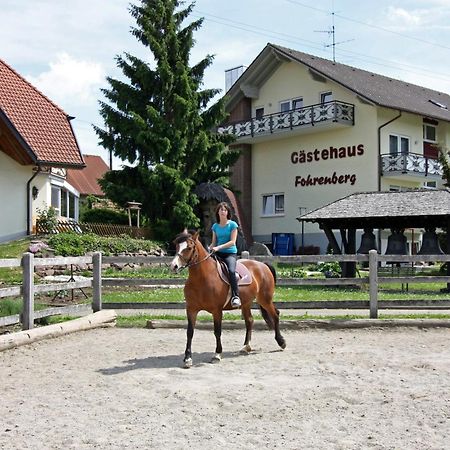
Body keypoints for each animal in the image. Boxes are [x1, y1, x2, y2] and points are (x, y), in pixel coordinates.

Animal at [169, 230, 284, 368]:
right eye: (177, 246)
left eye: (189, 247)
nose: (174, 266)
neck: (202, 278)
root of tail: (263, 265)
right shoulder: (191, 309)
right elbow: (190, 332)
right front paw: (187, 358)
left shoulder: (216, 310)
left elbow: (217, 331)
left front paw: (217, 354)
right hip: (246, 303)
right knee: (250, 321)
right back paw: (246, 347)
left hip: (264, 299)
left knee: (275, 315)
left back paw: (281, 342)